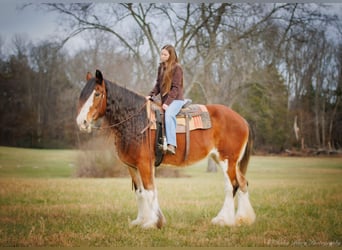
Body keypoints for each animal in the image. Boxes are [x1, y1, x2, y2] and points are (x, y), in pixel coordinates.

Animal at [76, 70, 255, 229]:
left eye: (97, 94)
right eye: (83, 95)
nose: (81, 122)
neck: (137, 121)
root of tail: (241, 119)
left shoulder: (144, 164)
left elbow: (149, 190)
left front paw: (152, 223)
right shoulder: (132, 166)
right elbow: (140, 192)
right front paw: (141, 220)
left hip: (227, 160)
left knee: (231, 185)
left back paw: (224, 220)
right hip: (225, 160)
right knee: (242, 183)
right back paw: (242, 218)